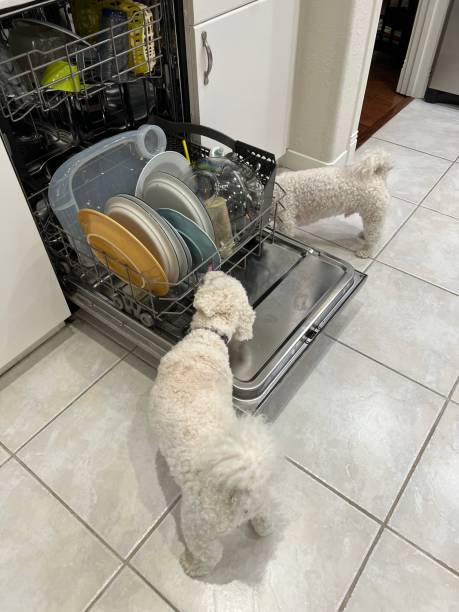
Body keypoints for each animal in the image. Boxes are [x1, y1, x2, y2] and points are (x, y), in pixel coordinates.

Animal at [153, 272, 278, 580]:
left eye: (213, 281)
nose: (211, 271)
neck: (209, 338)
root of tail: (240, 493)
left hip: (197, 523)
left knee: (211, 555)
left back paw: (192, 565)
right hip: (262, 501)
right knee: (266, 519)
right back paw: (263, 529)